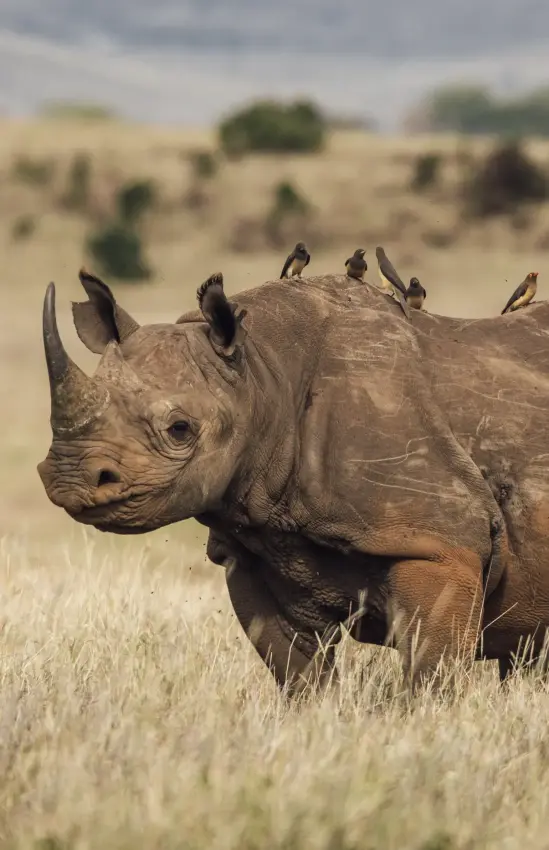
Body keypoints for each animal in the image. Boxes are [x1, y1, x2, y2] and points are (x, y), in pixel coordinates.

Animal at [37, 269, 549, 692]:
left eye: (180, 429)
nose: (68, 477)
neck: (262, 374)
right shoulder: (252, 549)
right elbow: (298, 673)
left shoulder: (438, 542)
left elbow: (431, 672)